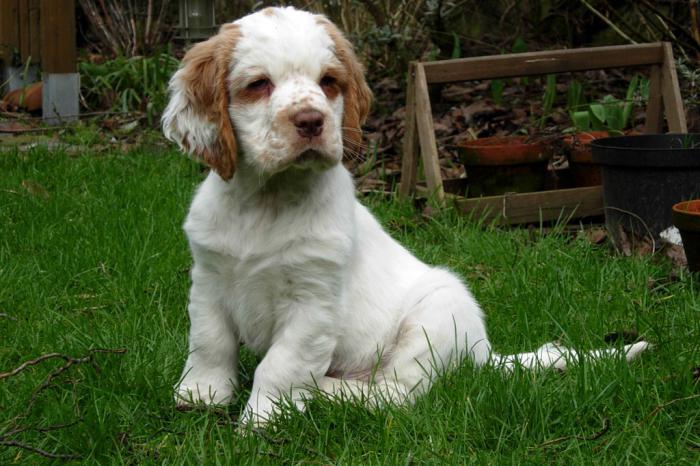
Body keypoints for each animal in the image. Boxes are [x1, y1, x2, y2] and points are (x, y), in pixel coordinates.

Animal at [161, 6, 648, 426]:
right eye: (259, 84)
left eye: (328, 82)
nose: (312, 121)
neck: (267, 200)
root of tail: (482, 352)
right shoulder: (209, 281)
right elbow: (209, 343)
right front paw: (200, 397)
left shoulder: (313, 302)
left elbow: (280, 365)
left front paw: (262, 421)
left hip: (437, 315)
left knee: (397, 395)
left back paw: (325, 391)